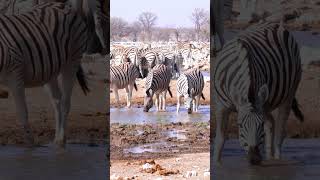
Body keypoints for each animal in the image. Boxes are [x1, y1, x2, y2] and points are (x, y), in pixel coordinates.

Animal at [0, 1, 102, 146]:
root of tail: (61, 5)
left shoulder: (16, 75)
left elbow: (22, 113)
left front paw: (30, 145)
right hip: (49, 69)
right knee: (57, 101)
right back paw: (56, 139)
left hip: (72, 60)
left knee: (65, 102)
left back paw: (61, 141)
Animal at [214, 21, 304, 165]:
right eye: (239, 125)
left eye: (259, 125)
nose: (255, 159)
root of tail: (275, 24)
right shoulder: (221, 105)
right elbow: (221, 137)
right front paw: (217, 163)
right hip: (266, 101)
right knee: (271, 122)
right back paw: (270, 157)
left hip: (290, 90)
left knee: (279, 128)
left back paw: (276, 159)